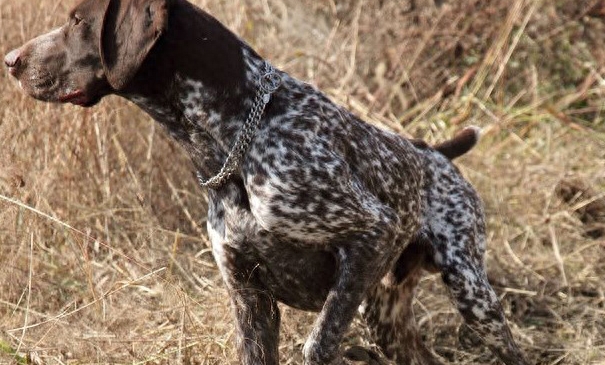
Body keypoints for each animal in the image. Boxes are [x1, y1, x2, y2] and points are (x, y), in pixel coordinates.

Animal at [7, 0, 528, 364]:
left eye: (78, 20)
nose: (10, 59)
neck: (234, 137)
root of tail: (431, 151)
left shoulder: (371, 233)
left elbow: (317, 345)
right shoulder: (249, 301)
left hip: (472, 294)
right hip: (386, 315)